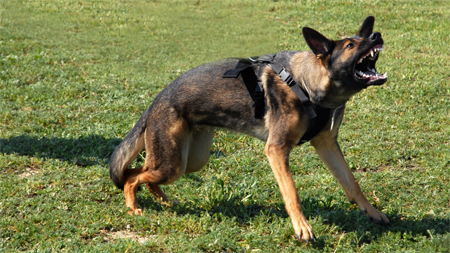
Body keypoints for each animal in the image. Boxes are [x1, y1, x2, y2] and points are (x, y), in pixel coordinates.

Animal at [110, 16, 390, 243]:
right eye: (351, 45)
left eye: (364, 38)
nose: (376, 35)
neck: (308, 83)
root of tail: (155, 102)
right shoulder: (276, 149)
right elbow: (291, 193)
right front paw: (302, 228)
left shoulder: (327, 144)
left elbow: (352, 182)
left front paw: (372, 212)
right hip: (173, 163)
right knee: (132, 176)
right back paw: (133, 207)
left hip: (191, 161)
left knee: (142, 173)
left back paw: (165, 201)